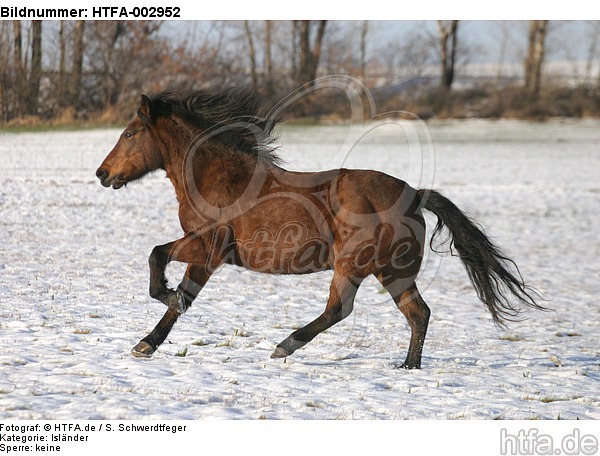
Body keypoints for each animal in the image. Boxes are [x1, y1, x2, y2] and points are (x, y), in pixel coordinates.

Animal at [95, 88, 544, 366]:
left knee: (340, 309)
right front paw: (150, 332)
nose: (102, 173)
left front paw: (152, 325)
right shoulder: (205, 250)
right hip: (392, 272)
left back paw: (284, 346)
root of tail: (414, 194)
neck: (221, 179)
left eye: (130, 133)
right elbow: (173, 282)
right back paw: (407, 366)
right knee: (418, 313)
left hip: (352, 265)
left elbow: (166, 275)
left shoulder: (209, 248)